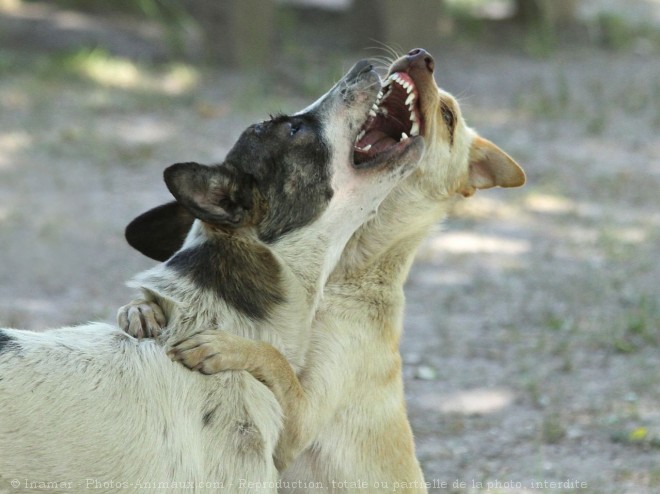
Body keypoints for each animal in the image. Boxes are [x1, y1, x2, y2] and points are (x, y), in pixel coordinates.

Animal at [121, 49, 524, 490]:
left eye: (448, 117)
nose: (421, 56)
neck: (335, 276)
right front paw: (139, 311)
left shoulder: (299, 423)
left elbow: (274, 360)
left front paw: (224, 347)